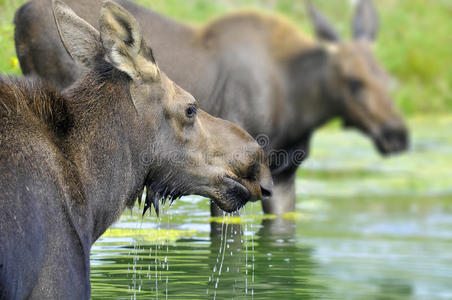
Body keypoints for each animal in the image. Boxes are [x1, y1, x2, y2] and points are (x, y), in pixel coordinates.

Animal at [15, 0, 410, 216]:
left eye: (389, 79)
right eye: (354, 82)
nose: (398, 135)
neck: (299, 106)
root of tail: (18, 16)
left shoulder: (283, 174)